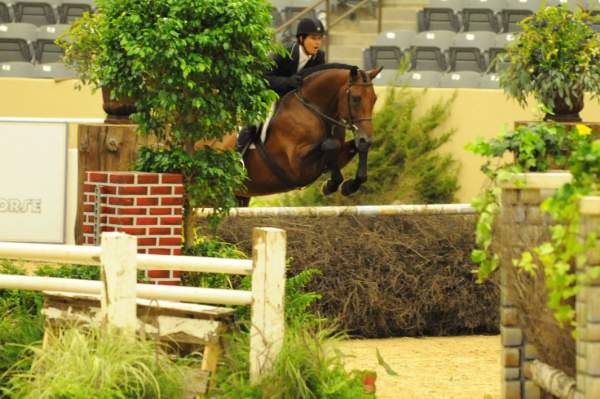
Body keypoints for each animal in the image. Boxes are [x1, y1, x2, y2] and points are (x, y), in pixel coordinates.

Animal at [236, 64, 384, 206]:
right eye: (355, 99)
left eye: (374, 99)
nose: (367, 139)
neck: (315, 111)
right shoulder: (296, 166)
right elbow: (331, 144)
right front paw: (330, 185)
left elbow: (355, 148)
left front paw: (349, 186)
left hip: (242, 196)